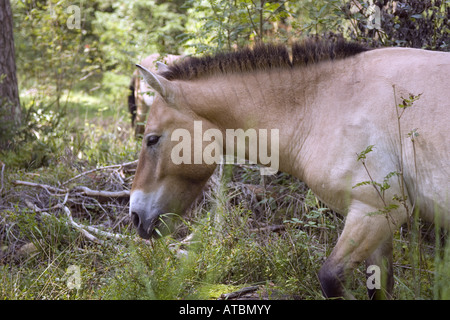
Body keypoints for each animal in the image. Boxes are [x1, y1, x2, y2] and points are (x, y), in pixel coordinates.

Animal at [129, 38, 450, 298]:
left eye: (152, 139)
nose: (135, 216)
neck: (325, 103)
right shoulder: (378, 222)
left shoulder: (375, 211)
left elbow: (329, 278)